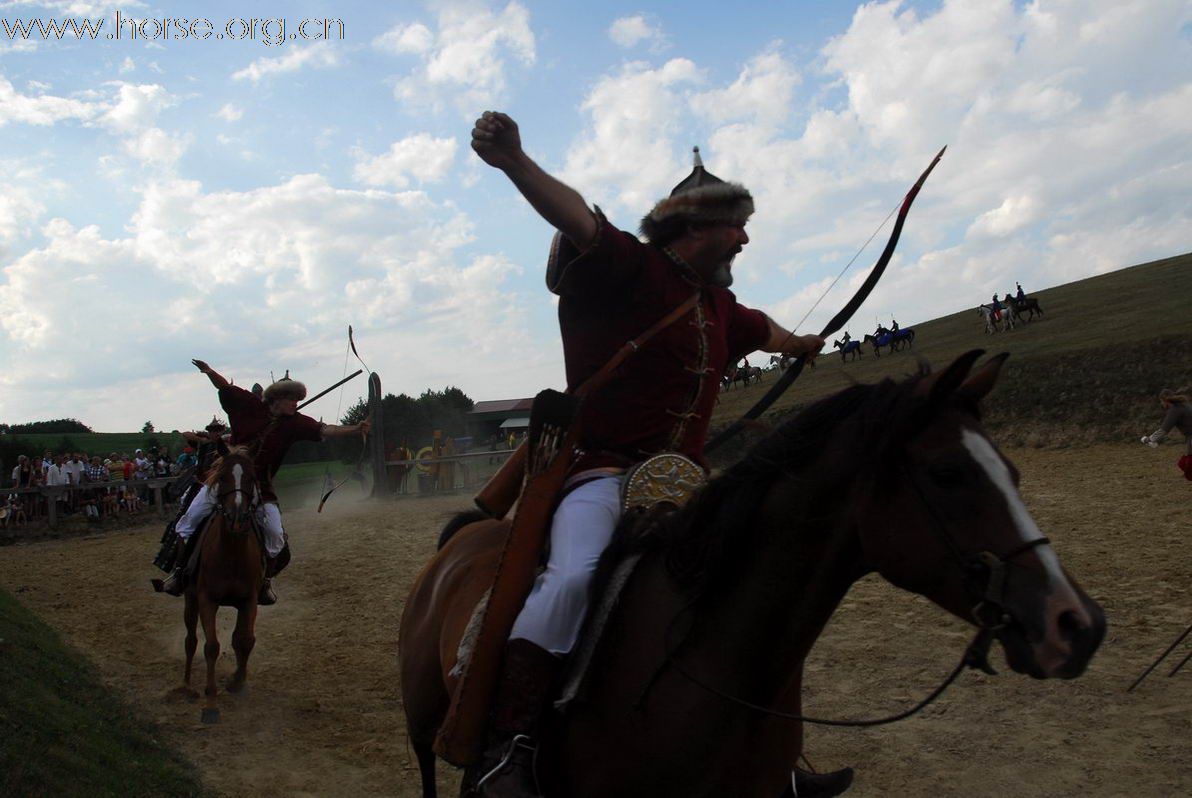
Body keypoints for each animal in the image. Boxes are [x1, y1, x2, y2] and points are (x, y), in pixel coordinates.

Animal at [175, 441, 264, 720]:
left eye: (252, 477)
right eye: (223, 477)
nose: (237, 518)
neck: (232, 553)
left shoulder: (248, 600)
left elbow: (245, 640)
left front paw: (237, 681)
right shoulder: (207, 600)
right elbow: (211, 646)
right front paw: (211, 703)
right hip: (190, 599)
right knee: (190, 640)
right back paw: (186, 685)